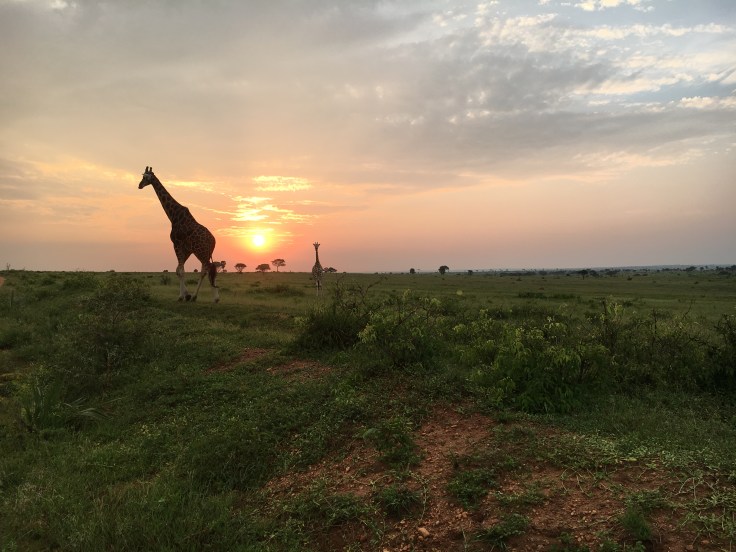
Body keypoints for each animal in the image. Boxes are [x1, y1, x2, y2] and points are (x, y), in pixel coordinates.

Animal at [138, 166, 220, 303]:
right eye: (142, 176)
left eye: (146, 177)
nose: (139, 185)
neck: (173, 216)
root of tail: (213, 241)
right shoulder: (186, 248)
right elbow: (178, 270)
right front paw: (186, 295)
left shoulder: (176, 243)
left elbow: (181, 271)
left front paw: (181, 296)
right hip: (203, 252)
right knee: (208, 269)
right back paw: (200, 297)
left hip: (201, 251)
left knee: (208, 269)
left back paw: (211, 298)